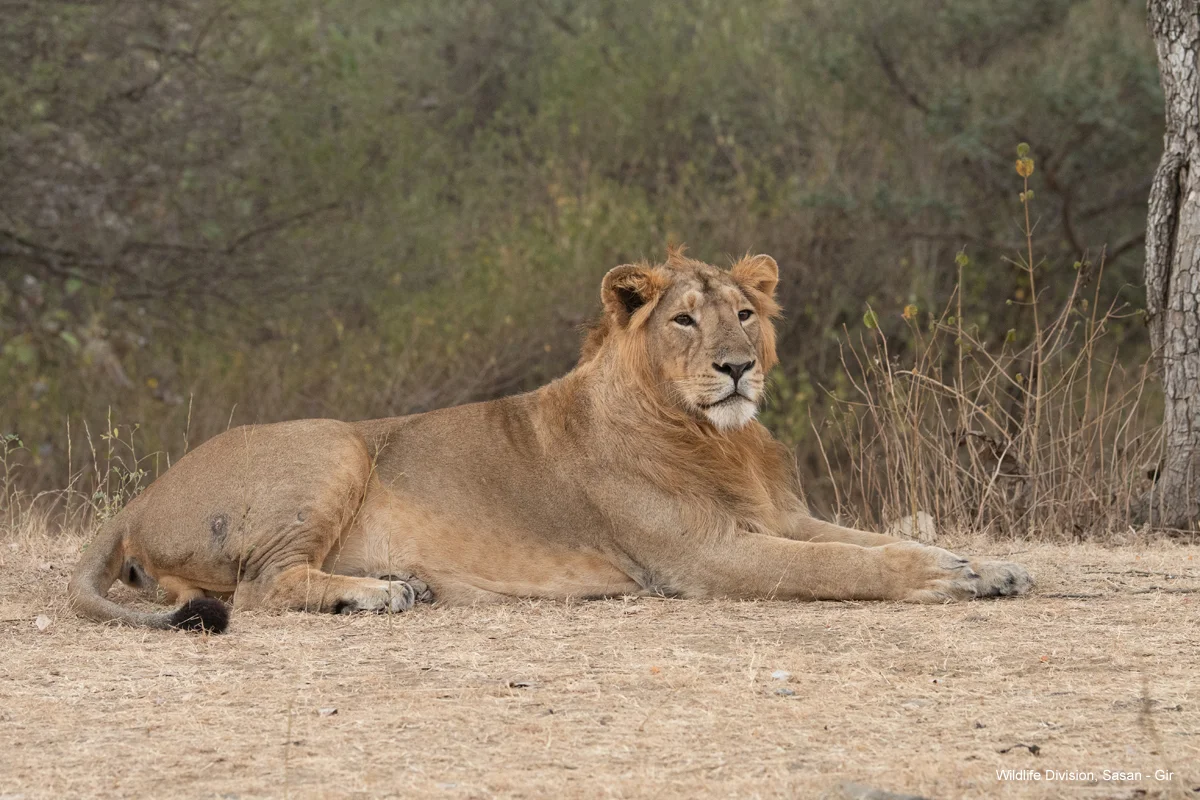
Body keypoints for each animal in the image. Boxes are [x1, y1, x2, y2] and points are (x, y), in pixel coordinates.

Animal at [68, 248, 1032, 633]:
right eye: (685, 320)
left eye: (747, 314)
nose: (736, 368)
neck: (722, 441)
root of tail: (143, 493)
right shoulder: (708, 558)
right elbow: (851, 564)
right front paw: (946, 579)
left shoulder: (783, 519)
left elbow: (872, 539)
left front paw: (991, 567)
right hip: (334, 442)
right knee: (265, 585)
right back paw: (379, 594)